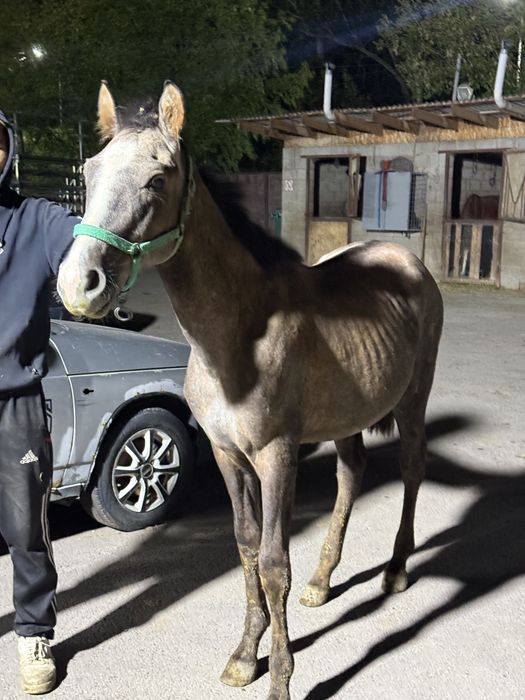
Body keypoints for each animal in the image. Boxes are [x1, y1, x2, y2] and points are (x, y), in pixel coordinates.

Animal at [57, 81, 444, 700]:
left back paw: (396, 569)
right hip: (349, 414)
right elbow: (244, 545)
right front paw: (245, 653)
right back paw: (323, 580)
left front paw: (281, 677)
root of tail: (406, 257)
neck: (237, 336)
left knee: (410, 469)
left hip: (412, 400)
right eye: (89, 172)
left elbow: (273, 560)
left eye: (157, 179)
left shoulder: (276, 455)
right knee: (351, 474)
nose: (79, 284)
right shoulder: (227, 455)